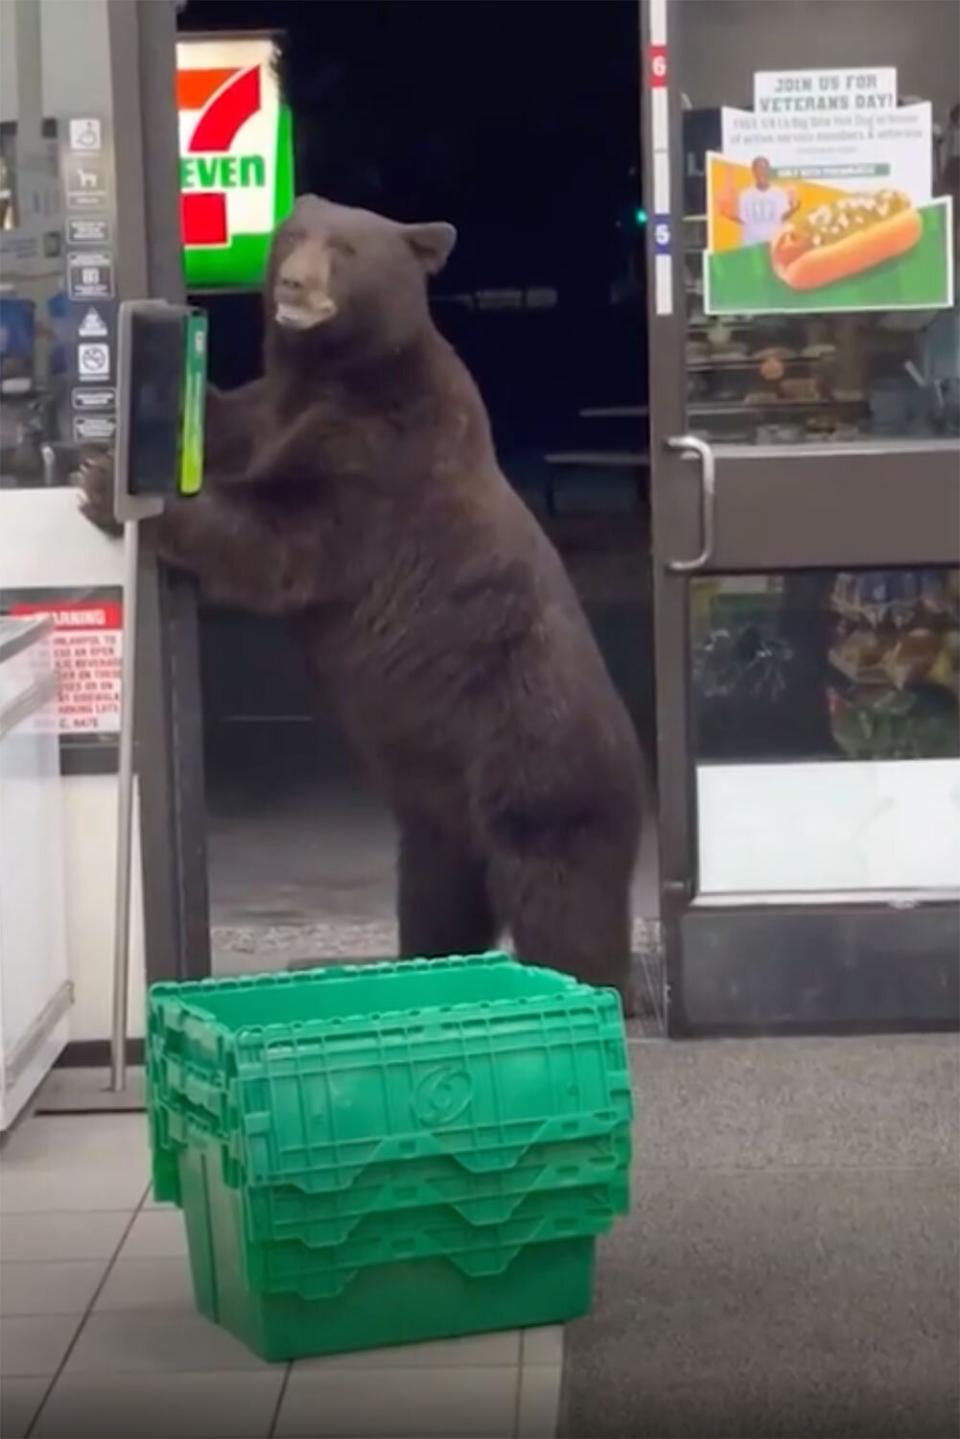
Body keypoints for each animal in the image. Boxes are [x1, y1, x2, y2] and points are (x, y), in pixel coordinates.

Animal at [78, 197, 641, 1007]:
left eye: (345, 249)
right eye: (294, 234)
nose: (294, 283)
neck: (338, 373)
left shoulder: (382, 458)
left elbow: (284, 536)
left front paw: (112, 487)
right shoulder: (273, 412)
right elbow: (231, 421)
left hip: (541, 769)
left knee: (562, 903)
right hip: (441, 817)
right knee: (438, 899)